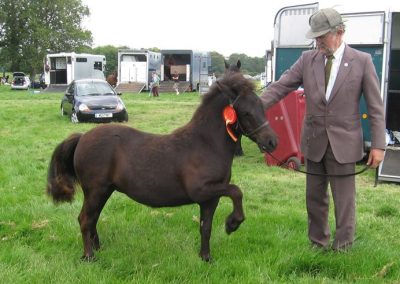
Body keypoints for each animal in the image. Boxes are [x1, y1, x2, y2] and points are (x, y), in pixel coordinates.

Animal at [47, 71, 276, 262]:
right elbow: (236, 191)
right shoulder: (201, 190)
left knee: (92, 219)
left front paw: (206, 258)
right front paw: (232, 224)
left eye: (262, 107)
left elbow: (206, 227)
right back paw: (89, 256)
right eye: (245, 112)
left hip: (104, 191)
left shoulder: (210, 199)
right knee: (85, 219)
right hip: (96, 191)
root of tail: (82, 137)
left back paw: (98, 248)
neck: (205, 144)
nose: (272, 142)